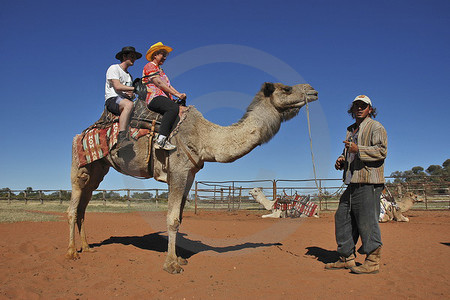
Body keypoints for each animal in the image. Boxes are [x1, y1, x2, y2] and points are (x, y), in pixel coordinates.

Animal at [67, 82, 318, 274]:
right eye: (286, 89)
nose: (312, 90)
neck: (205, 138)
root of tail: (82, 132)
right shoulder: (177, 171)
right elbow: (172, 219)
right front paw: (171, 265)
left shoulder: (189, 176)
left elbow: (180, 217)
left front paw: (180, 258)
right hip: (79, 164)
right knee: (73, 206)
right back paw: (71, 253)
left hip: (99, 169)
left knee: (84, 206)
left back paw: (87, 247)